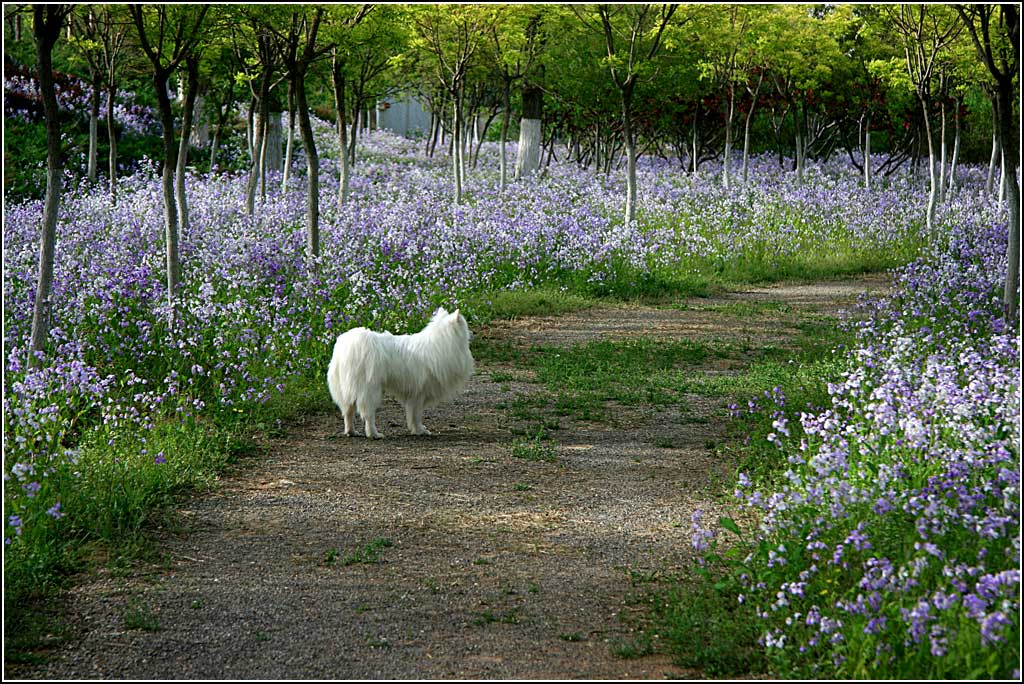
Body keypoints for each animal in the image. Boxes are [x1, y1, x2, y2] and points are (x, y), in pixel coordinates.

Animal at [325, 305, 473, 438]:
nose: (471, 333)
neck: (442, 341)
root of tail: (349, 347)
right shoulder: (419, 392)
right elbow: (416, 415)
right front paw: (420, 430)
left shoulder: (415, 394)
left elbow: (413, 415)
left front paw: (416, 429)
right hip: (369, 390)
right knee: (368, 415)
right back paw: (374, 434)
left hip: (345, 390)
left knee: (348, 412)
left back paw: (351, 432)